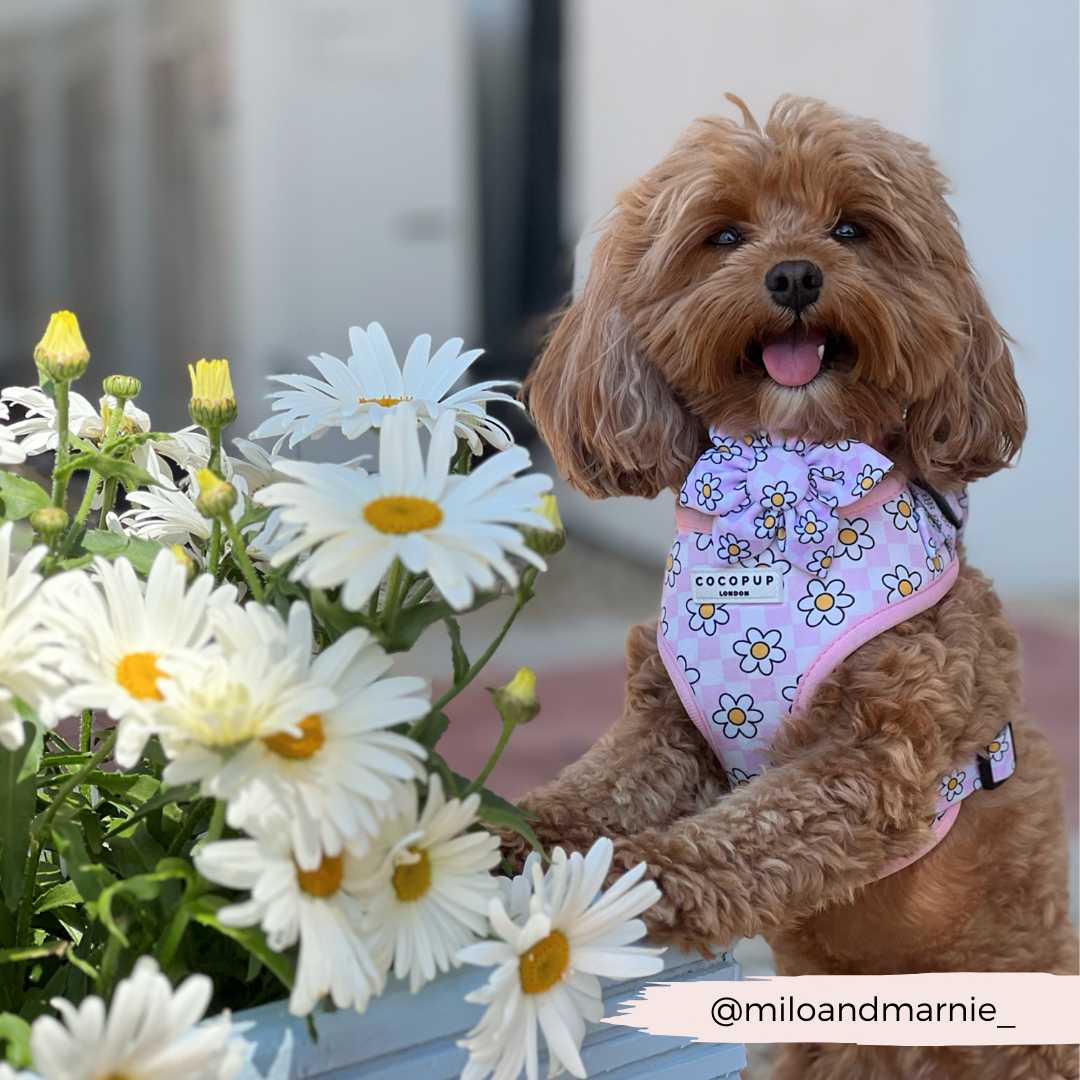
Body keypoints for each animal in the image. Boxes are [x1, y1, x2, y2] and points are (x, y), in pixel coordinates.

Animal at [498, 97, 1080, 1075]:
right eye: (724, 235)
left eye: (851, 228)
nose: (797, 273)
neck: (784, 482)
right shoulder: (669, 723)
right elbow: (597, 785)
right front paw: (507, 829)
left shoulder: (875, 755)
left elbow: (758, 829)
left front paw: (643, 876)